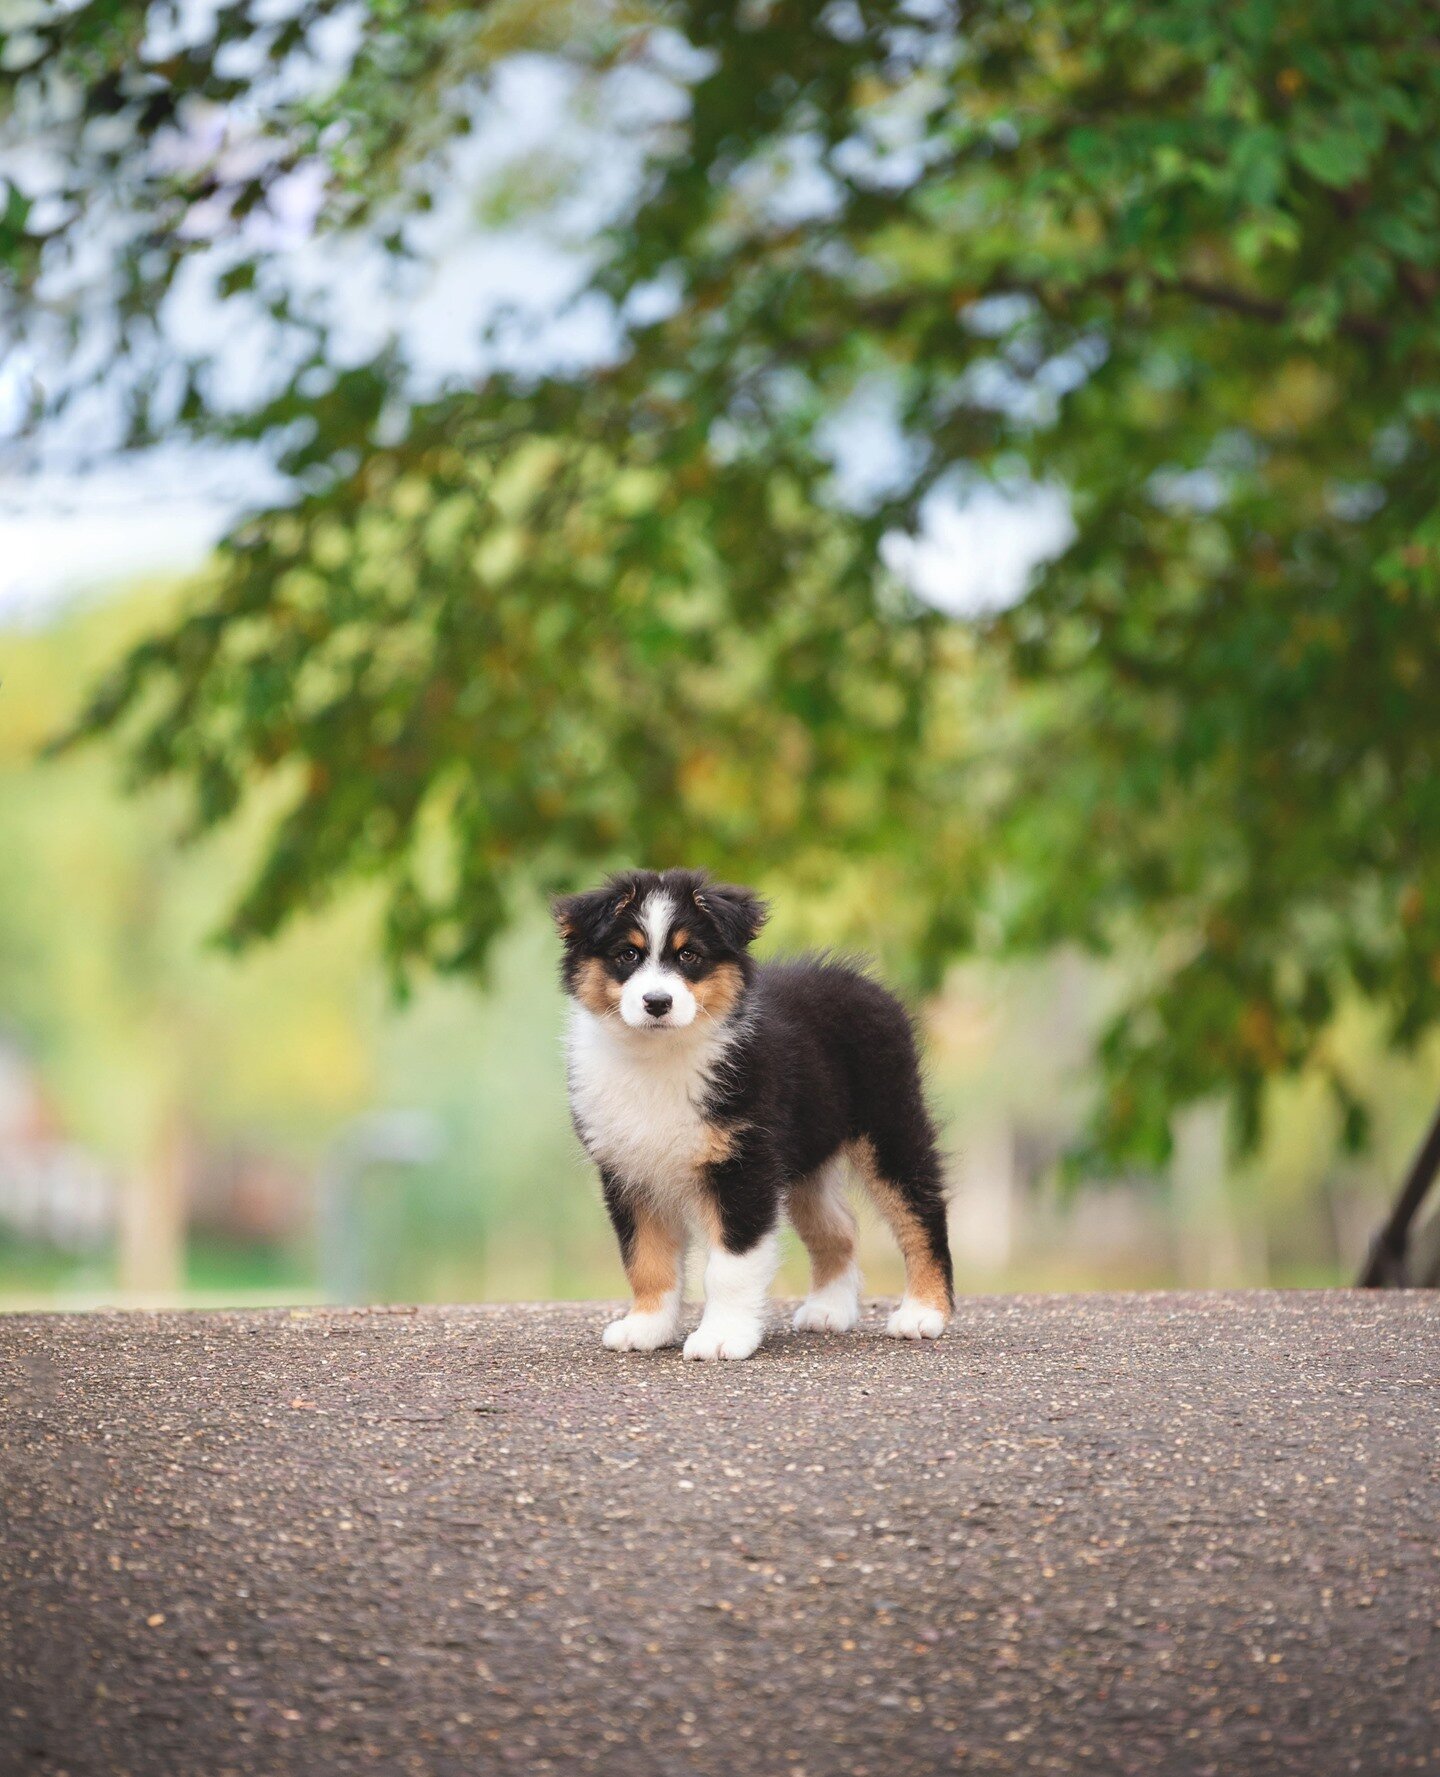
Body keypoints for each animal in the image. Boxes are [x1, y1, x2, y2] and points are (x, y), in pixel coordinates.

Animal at [551, 870, 952, 1357]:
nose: (657, 1003)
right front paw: (646, 1327)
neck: (659, 1055)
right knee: (838, 1228)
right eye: (627, 954)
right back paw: (829, 1310)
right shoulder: (629, 1171)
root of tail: (863, 983)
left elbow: (730, 1266)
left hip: (890, 1123)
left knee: (922, 1213)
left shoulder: (744, 1164)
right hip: (806, 1157)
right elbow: (645, 1258)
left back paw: (923, 1313)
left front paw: (722, 1337)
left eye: (689, 955)